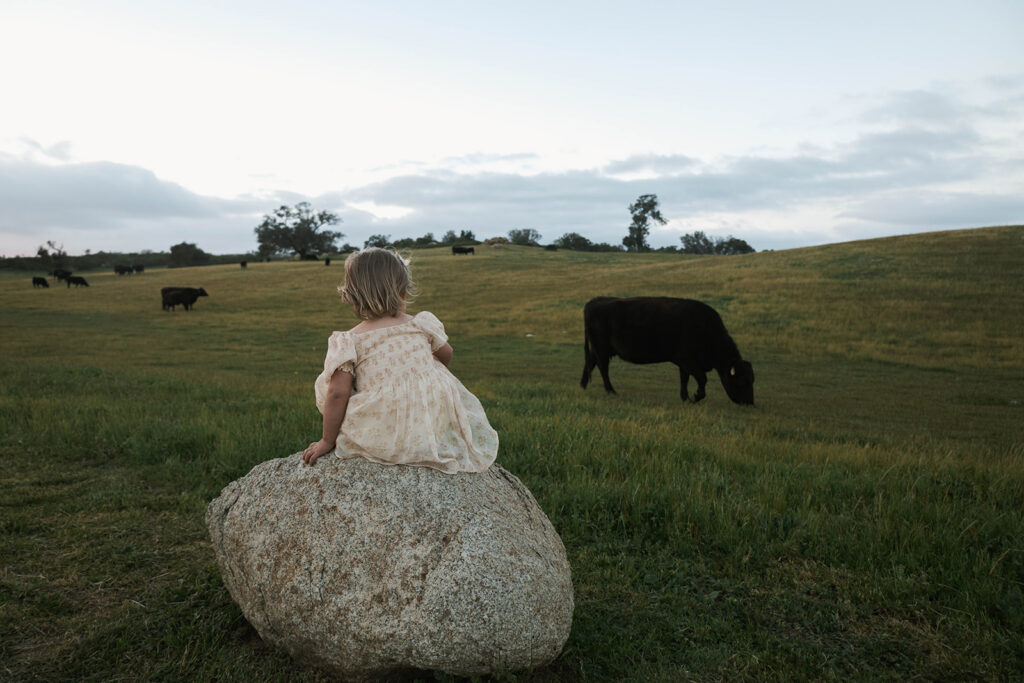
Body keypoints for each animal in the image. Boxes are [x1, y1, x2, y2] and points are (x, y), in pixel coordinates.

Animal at [580, 296, 754, 405]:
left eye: (752, 380)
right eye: (742, 381)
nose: (749, 402)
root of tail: (595, 301)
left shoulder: (684, 364)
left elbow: (684, 379)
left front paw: (685, 398)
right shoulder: (689, 362)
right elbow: (702, 380)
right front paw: (695, 396)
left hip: (600, 350)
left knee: (590, 364)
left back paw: (583, 386)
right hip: (602, 350)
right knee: (603, 368)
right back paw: (611, 391)